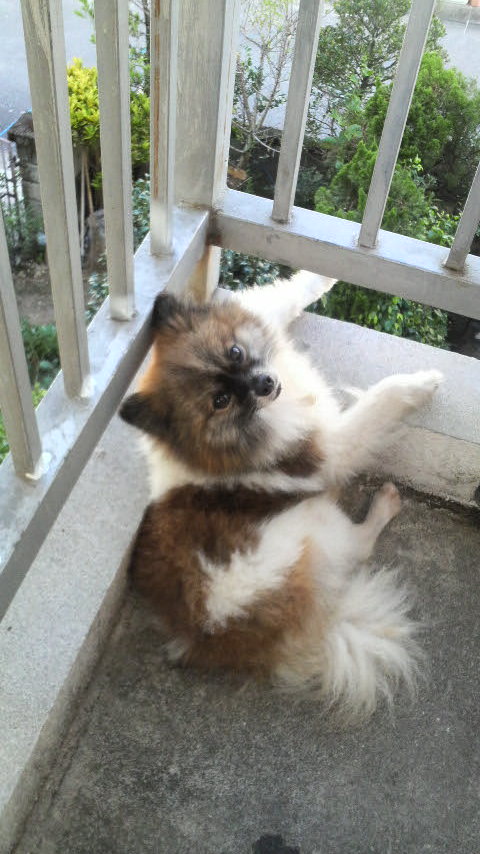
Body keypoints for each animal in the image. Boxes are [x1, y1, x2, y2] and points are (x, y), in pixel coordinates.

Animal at [120, 271, 442, 720]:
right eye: (220, 400)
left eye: (235, 351)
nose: (265, 383)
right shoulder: (329, 449)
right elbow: (380, 401)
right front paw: (421, 383)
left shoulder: (262, 315)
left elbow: (287, 294)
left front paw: (326, 275)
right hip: (307, 527)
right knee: (358, 546)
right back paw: (385, 505)